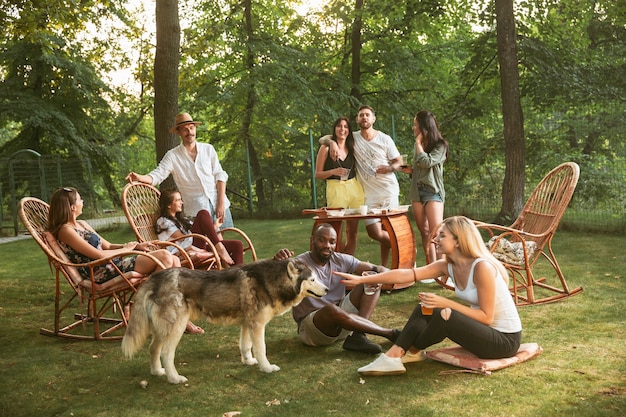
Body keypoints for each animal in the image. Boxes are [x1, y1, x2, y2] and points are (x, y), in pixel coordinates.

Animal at [120, 260, 326, 384]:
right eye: (312, 279)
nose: (326, 289)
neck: (270, 281)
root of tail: (154, 278)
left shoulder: (247, 324)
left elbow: (246, 346)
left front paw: (249, 361)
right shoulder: (257, 326)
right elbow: (261, 349)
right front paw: (266, 368)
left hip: (161, 330)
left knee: (153, 349)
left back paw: (157, 372)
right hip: (176, 328)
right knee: (166, 353)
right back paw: (174, 378)